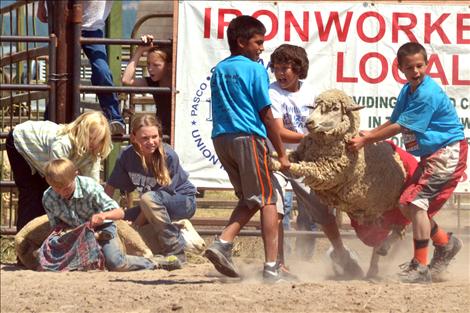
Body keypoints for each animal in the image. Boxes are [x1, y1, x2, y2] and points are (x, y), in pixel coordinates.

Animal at [270, 89, 416, 276]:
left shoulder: (323, 171)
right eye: (315, 106)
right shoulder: (303, 155)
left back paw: (383, 251)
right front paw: (272, 156)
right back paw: (371, 269)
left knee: (398, 231)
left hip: (395, 207)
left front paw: (275, 163)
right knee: (378, 238)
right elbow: (289, 156)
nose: (309, 122)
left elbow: (301, 167)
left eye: (334, 108)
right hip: (375, 215)